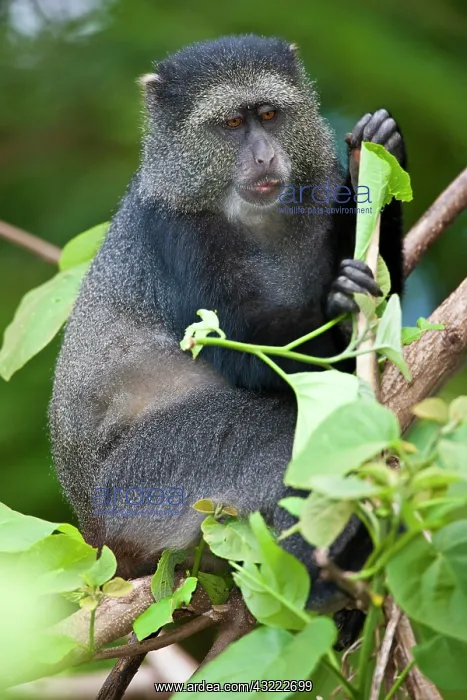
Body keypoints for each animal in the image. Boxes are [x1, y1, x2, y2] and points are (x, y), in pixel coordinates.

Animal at [49, 35, 406, 647]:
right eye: (233, 123)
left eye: (269, 115)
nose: (263, 156)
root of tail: (96, 531)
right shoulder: (177, 233)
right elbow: (257, 357)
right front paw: (337, 308)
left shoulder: (320, 186)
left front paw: (373, 158)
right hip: (152, 479)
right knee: (280, 435)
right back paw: (324, 583)